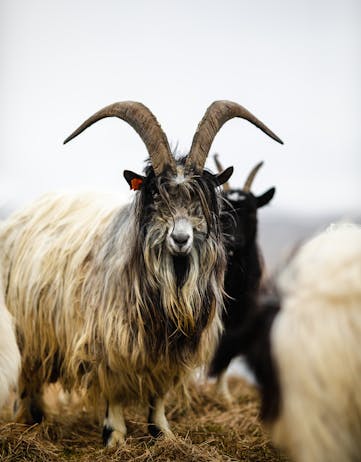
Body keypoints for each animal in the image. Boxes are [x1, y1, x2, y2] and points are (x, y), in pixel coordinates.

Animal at [207, 156, 274, 400]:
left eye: (252, 212)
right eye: (222, 211)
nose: (232, 241)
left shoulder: (241, 317)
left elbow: (226, 353)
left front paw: (224, 396)